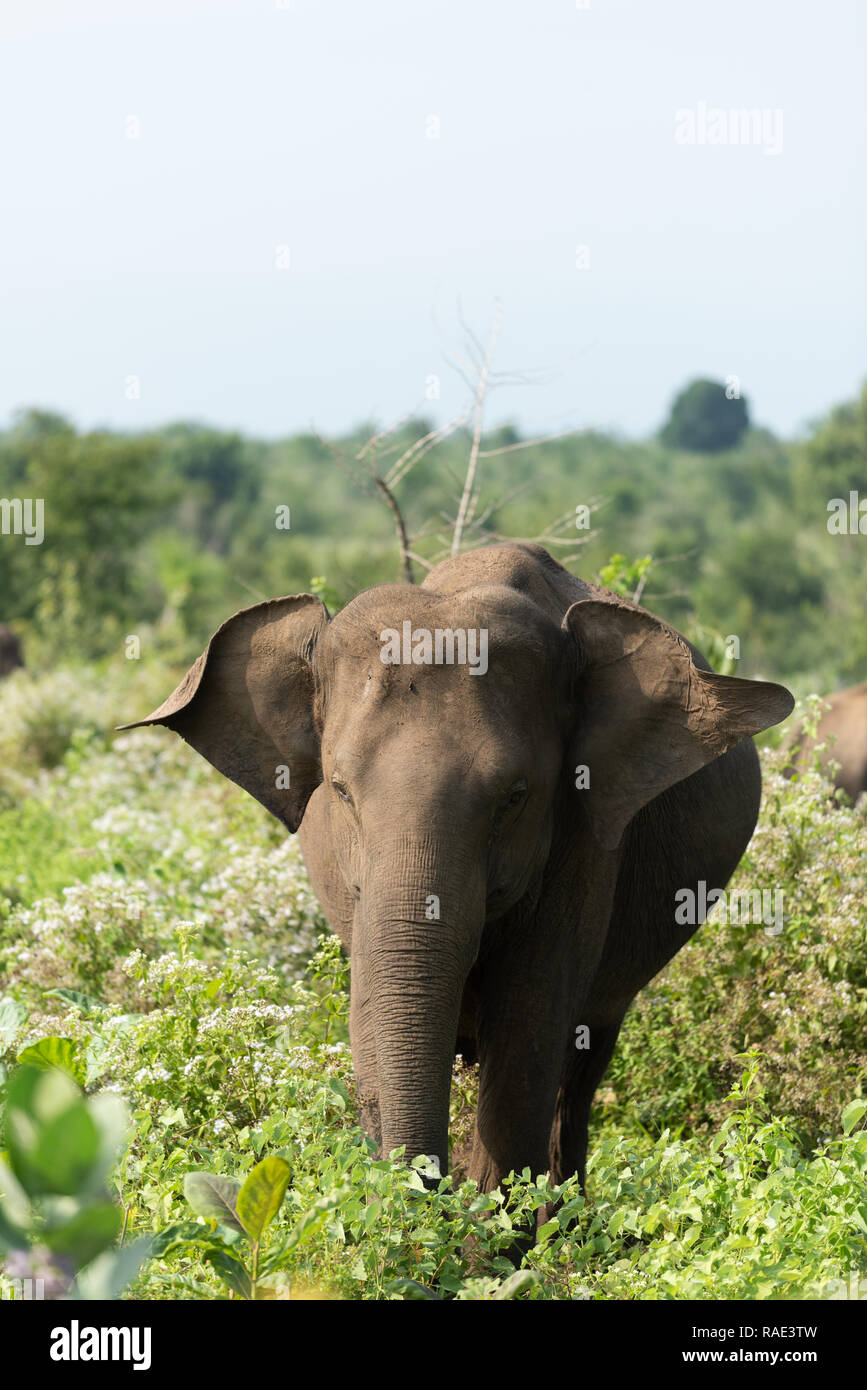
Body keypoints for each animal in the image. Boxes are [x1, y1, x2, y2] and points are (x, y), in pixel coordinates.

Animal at [120, 547, 794, 1200]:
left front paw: (492, 1232)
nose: (428, 1189)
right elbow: (373, 1013)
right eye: (340, 791)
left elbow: (528, 1029)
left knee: (583, 1060)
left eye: (514, 798)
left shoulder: (586, 836)